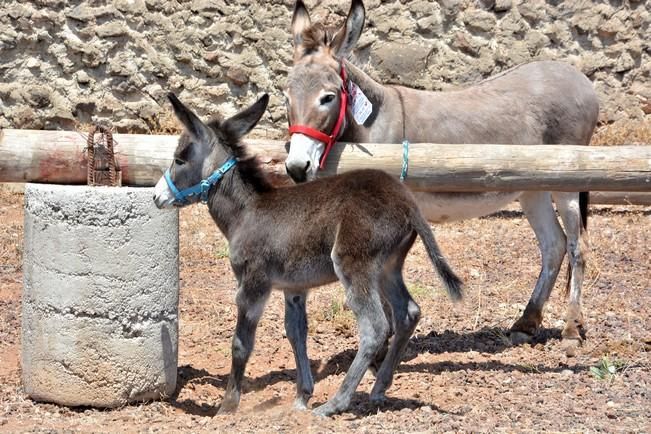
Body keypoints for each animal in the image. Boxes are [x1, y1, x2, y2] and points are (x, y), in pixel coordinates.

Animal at [153, 92, 464, 418]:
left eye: (179, 159)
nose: (157, 197)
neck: (246, 212)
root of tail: (406, 201)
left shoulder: (253, 284)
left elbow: (241, 343)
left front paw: (227, 407)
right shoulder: (294, 288)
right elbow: (296, 333)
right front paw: (302, 397)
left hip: (354, 263)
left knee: (376, 327)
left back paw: (336, 403)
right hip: (387, 267)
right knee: (408, 313)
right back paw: (378, 389)